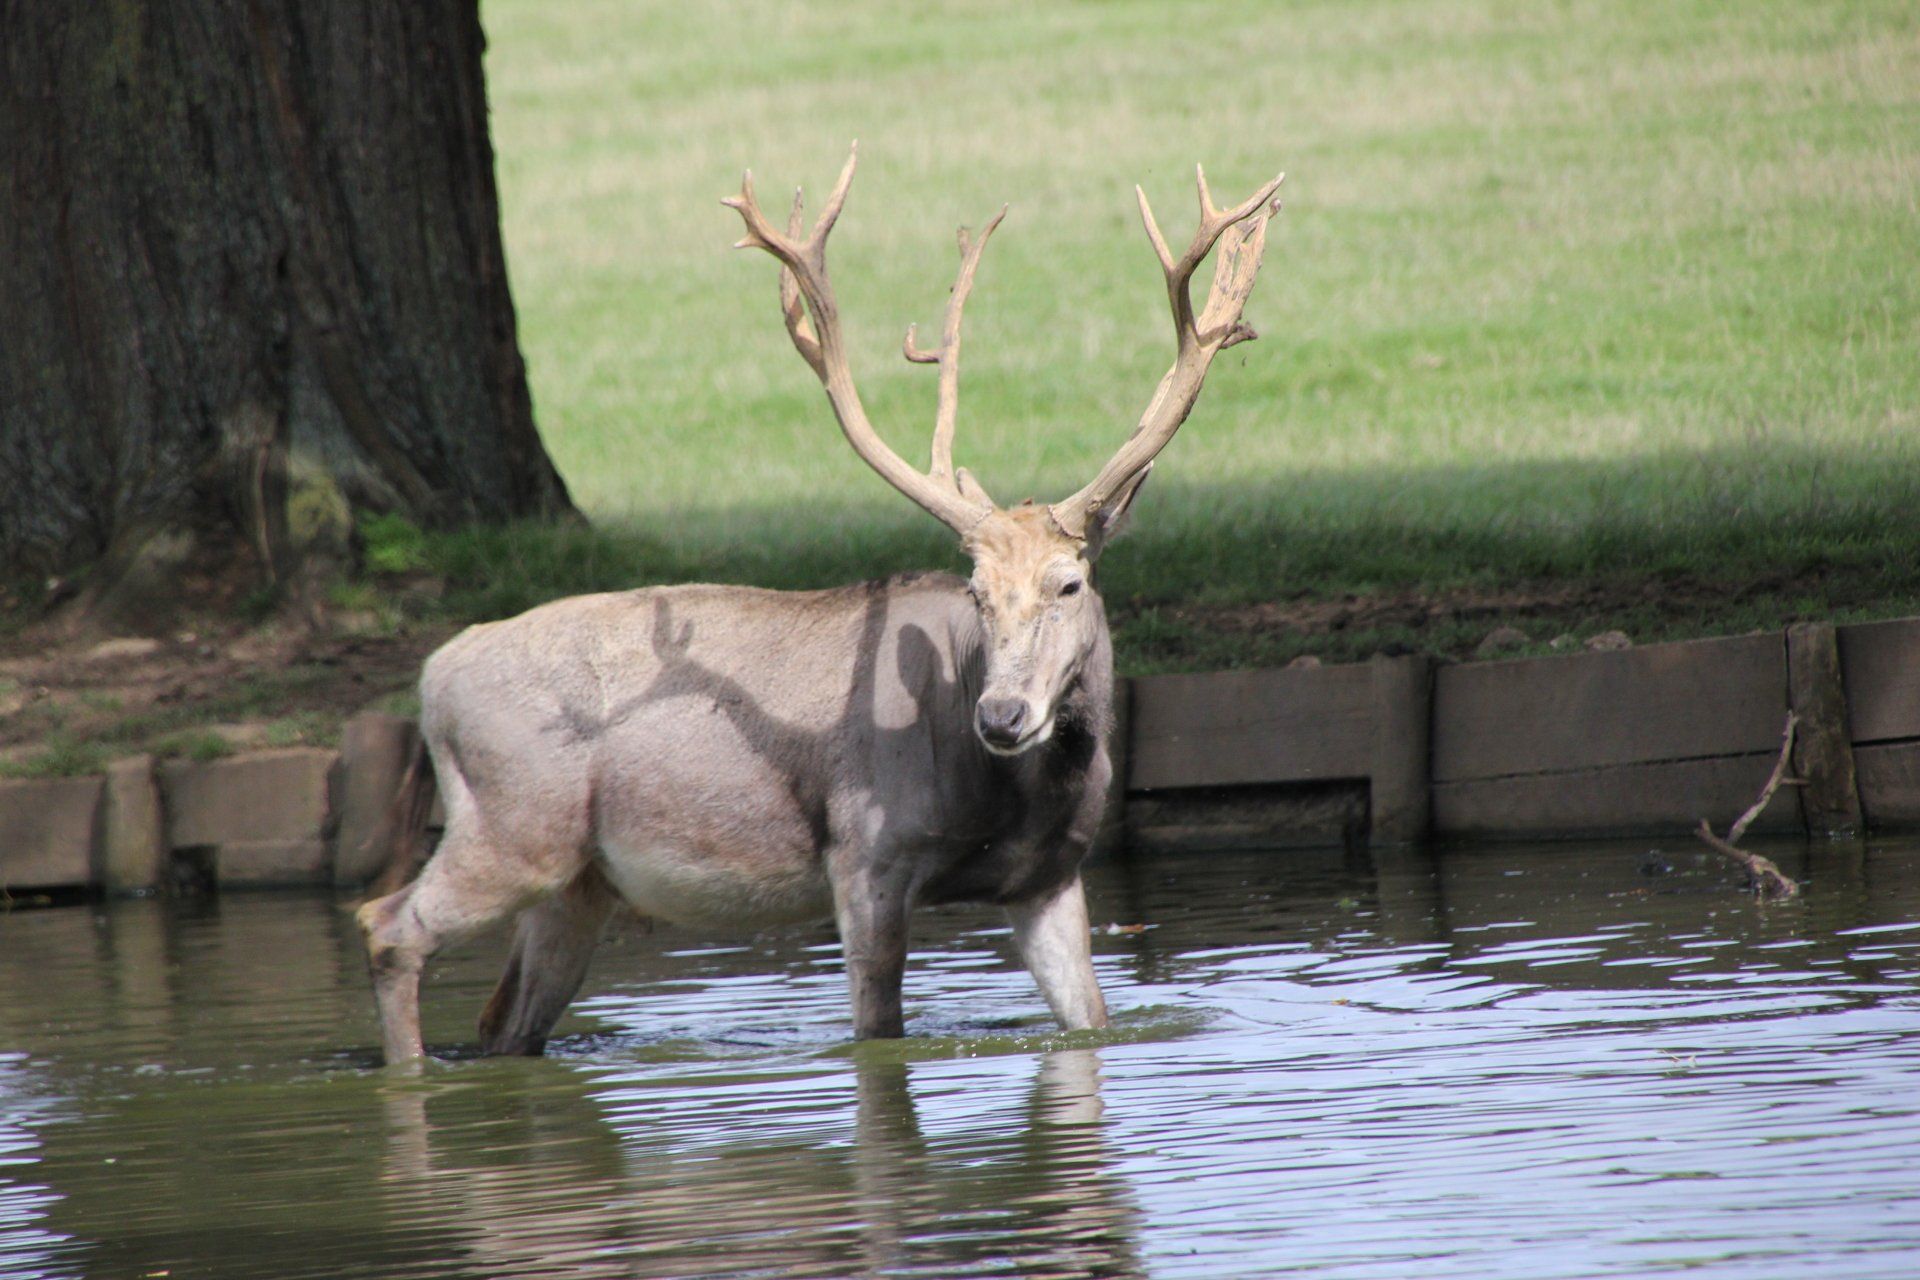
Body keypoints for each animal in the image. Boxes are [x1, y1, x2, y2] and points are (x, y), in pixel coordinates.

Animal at [356, 146, 1284, 1065]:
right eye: (976, 592)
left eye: (1071, 582)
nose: (1002, 714)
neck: (1014, 794)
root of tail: (433, 677)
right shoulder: (867, 852)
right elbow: (877, 1033)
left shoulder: (1050, 879)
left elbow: (1091, 1021)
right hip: (515, 826)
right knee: (387, 925)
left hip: (576, 883)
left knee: (505, 1020)